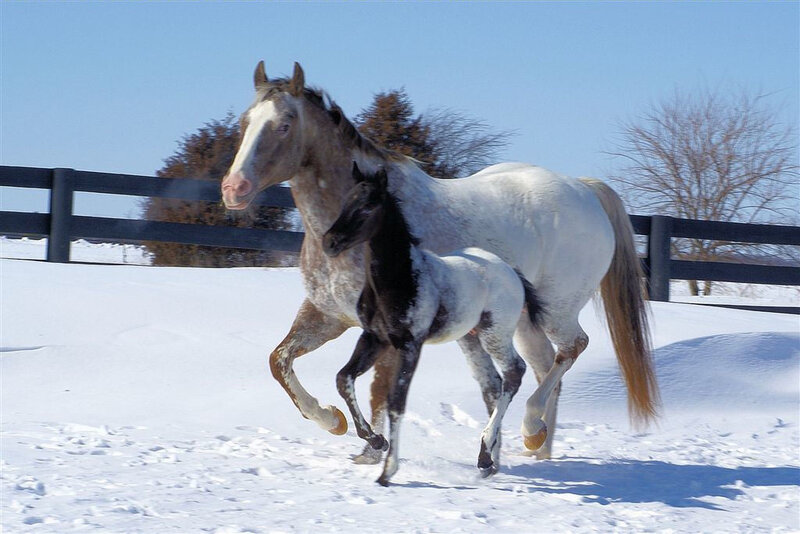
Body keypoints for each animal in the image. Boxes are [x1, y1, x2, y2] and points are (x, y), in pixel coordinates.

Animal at [323, 163, 534, 484]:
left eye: (369, 206)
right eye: (347, 200)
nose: (329, 242)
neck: (400, 278)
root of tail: (511, 271)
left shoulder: (411, 344)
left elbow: (396, 402)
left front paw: (388, 470)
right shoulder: (374, 338)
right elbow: (343, 378)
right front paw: (376, 441)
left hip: (495, 334)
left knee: (514, 372)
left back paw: (486, 452)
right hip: (471, 338)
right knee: (493, 385)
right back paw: (488, 462)